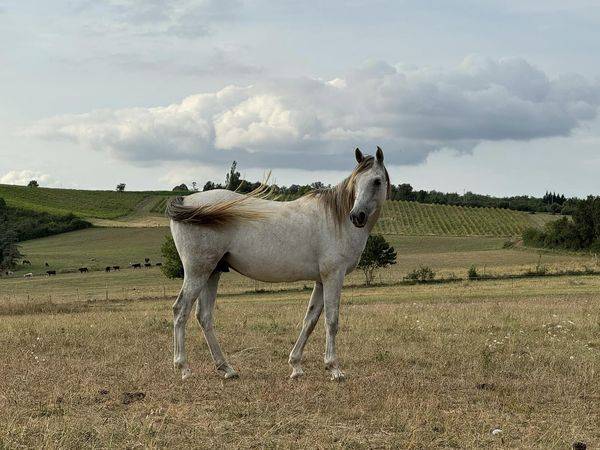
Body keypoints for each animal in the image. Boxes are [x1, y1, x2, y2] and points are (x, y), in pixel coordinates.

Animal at [168, 147, 390, 380]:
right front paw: (334, 368)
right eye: (355, 182)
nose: (357, 216)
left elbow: (310, 320)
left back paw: (226, 368)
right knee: (180, 310)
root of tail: (186, 200)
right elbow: (331, 320)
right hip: (197, 272)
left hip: (212, 273)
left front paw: (296, 366)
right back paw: (183, 368)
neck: (336, 219)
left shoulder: (321, 281)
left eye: (376, 181)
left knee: (204, 316)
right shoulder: (333, 277)